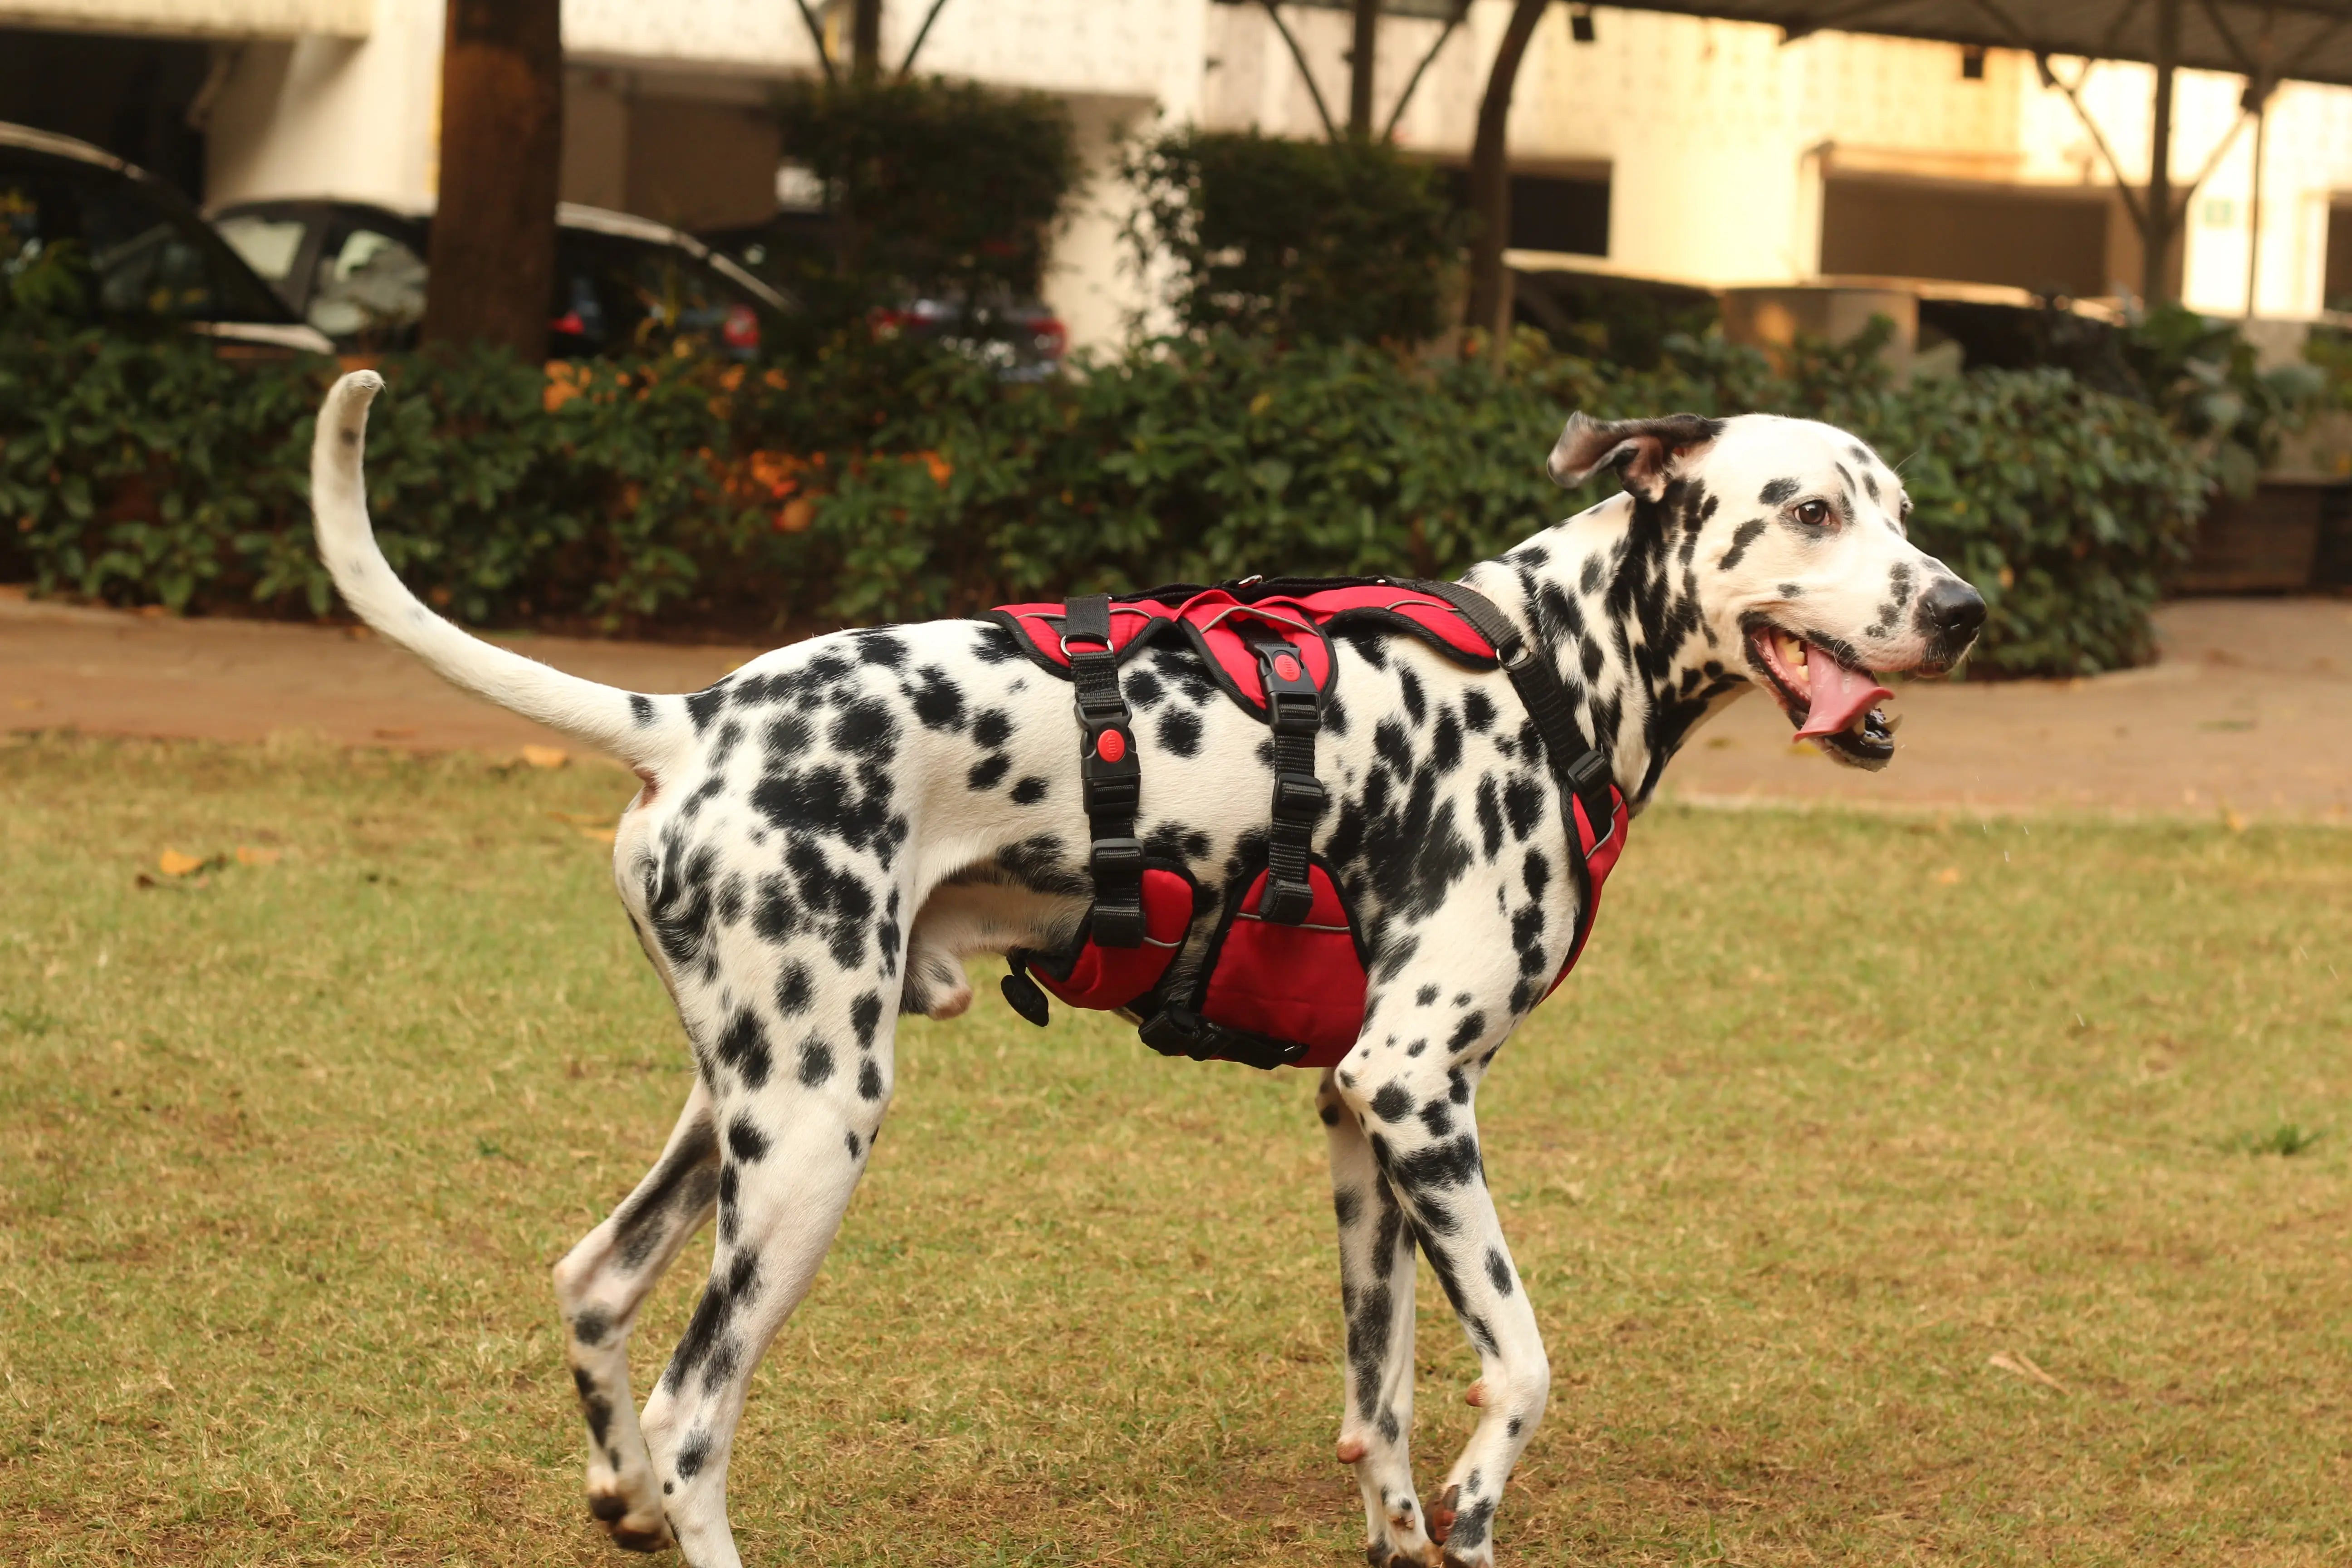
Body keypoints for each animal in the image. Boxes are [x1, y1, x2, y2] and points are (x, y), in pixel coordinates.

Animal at [299, 371, 1985, 1568]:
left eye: (1899, 509)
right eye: (1811, 511)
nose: (1965, 610)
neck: (1544, 673)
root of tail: (694, 718)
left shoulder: (1364, 1125)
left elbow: (1378, 1400)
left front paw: (1398, 1522)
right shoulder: (1417, 1090)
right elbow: (1519, 1370)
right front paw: (1476, 1499)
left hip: (746, 1107)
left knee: (595, 1288)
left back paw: (623, 1495)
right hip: (816, 1141)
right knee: (693, 1412)